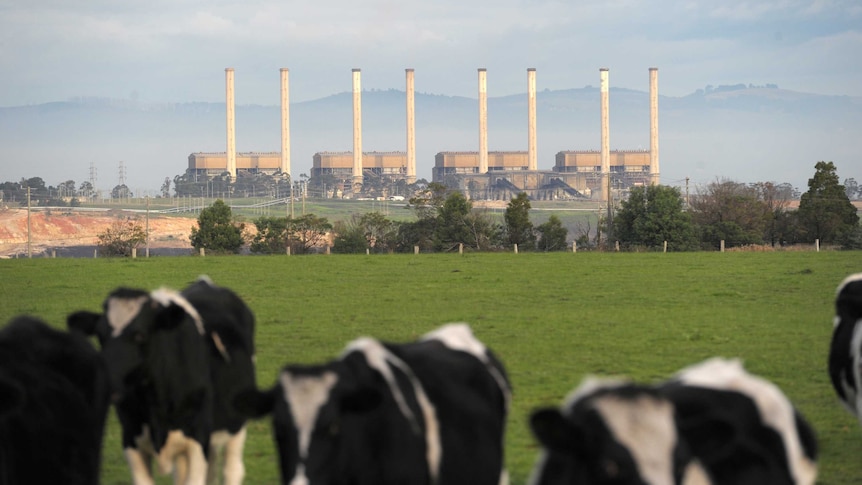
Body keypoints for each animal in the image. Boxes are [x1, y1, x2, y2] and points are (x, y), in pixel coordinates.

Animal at [68, 276, 256, 484]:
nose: (104, 382)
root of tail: (206, 282)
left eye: (140, 335)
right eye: (100, 335)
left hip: (236, 425)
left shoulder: (198, 440)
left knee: (232, 470)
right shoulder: (131, 439)